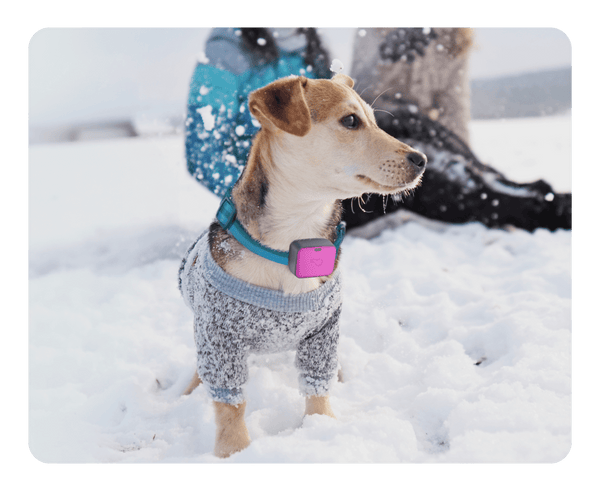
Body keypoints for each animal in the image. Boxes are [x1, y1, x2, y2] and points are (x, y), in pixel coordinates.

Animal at [178, 73, 426, 458]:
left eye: (375, 120)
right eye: (350, 121)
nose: (421, 159)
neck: (293, 240)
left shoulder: (323, 332)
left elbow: (317, 385)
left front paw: (322, 428)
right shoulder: (219, 337)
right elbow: (231, 402)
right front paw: (234, 450)